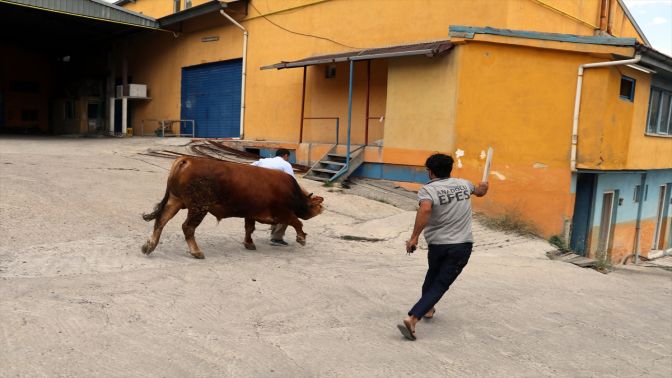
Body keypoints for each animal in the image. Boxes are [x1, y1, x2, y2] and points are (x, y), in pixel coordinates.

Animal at [140, 155, 324, 258]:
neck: (293, 192)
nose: (322, 208)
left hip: (175, 201)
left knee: (161, 220)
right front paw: (301, 238)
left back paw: (149, 246)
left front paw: (249, 243)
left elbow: (249, 228)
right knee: (188, 227)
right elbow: (297, 222)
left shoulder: (251, 213)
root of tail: (187, 160)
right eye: (314, 205)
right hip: (199, 207)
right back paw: (196, 251)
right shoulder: (283, 213)